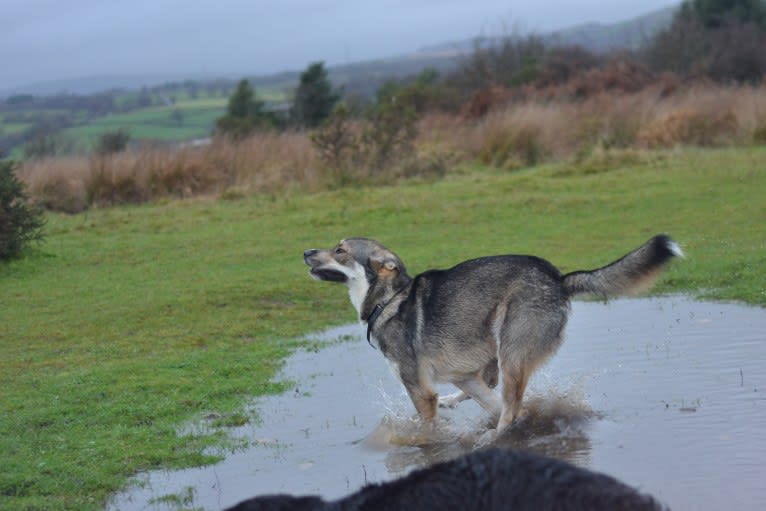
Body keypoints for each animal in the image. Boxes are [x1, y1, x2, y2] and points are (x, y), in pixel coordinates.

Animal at [304, 236, 680, 432]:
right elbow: (488, 401)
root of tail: (558, 279)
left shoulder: (420, 391)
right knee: (504, 404)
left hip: (510, 353)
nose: (305, 251)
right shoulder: (462, 377)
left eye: (340, 250)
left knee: (511, 411)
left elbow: (428, 432)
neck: (389, 300)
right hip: (490, 361)